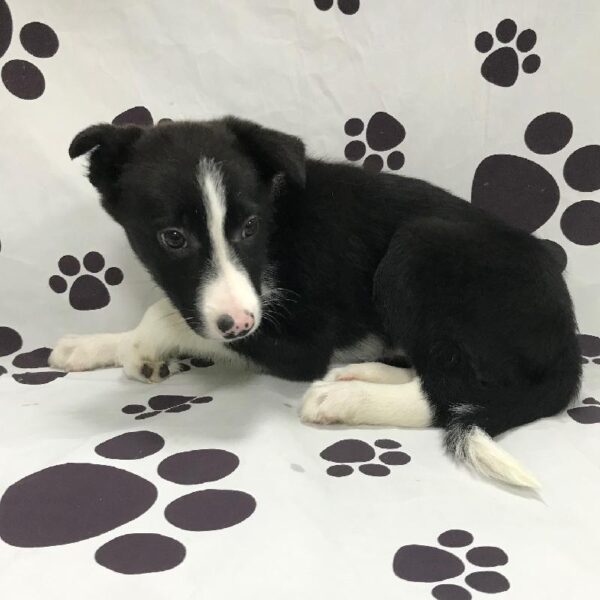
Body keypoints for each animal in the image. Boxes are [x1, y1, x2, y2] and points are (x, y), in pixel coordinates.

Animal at [51, 116, 580, 488]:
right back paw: (363, 372)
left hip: (418, 248)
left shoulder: (295, 344)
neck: (274, 225)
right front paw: (95, 346)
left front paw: (142, 346)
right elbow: (175, 314)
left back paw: (346, 398)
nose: (239, 323)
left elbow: (165, 313)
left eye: (249, 227)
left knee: (452, 390)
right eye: (173, 238)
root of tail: (569, 346)